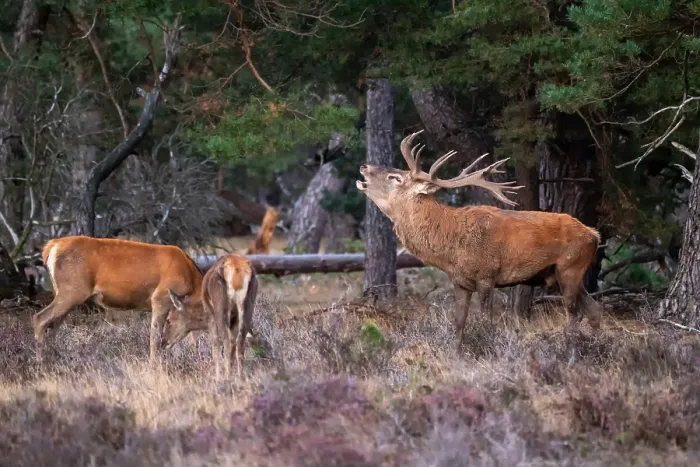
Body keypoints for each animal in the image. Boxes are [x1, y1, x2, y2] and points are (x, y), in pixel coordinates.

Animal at [33, 235, 204, 362]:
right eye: (169, 321)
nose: (165, 344)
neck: (192, 282)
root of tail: (52, 246)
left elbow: (191, 339)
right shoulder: (160, 297)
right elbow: (155, 336)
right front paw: (154, 363)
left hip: (65, 293)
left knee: (53, 327)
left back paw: (55, 357)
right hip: (72, 291)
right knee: (40, 318)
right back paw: (40, 362)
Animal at [356, 130, 601, 346]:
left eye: (395, 177)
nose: (364, 166)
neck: (450, 247)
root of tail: (595, 235)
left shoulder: (487, 274)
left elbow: (485, 324)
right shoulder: (459, 282)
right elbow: (459, 324)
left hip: (569, 266)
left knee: (575, 313)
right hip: (568, 273)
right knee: (593, 310)